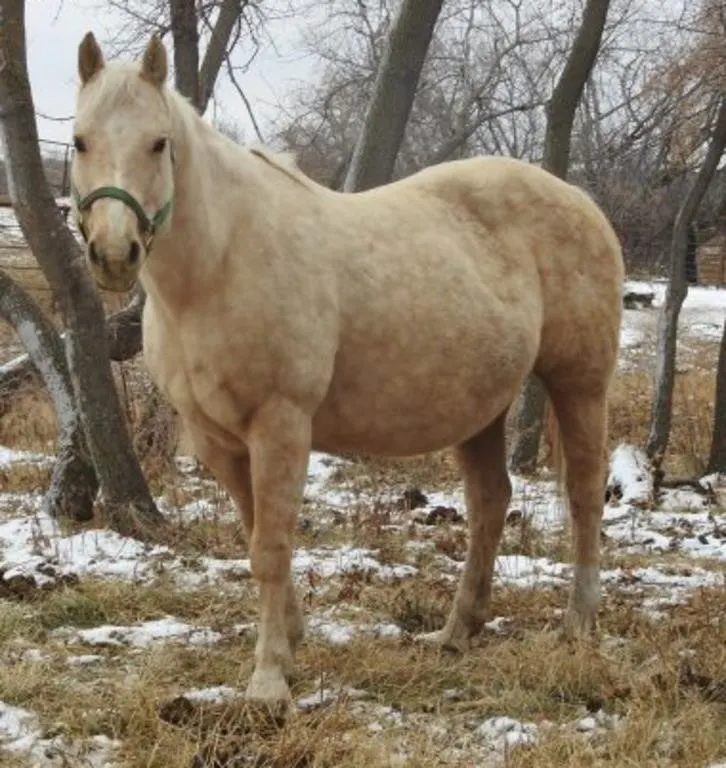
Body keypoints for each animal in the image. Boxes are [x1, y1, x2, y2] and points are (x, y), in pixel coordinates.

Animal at [71, 32, 624, 705]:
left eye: (158, 142)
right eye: (80, 140)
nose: (114, 254)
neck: (219, 265)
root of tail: (582, 202)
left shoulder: (281, 425)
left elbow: (271, 547)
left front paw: (269, 681)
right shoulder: (216, 439)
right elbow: (257, 538)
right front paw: (290, 641)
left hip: (580, 383)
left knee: (584, 495)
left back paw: (578, 623)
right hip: (481, 407)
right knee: (491, 502)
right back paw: (456, 631)